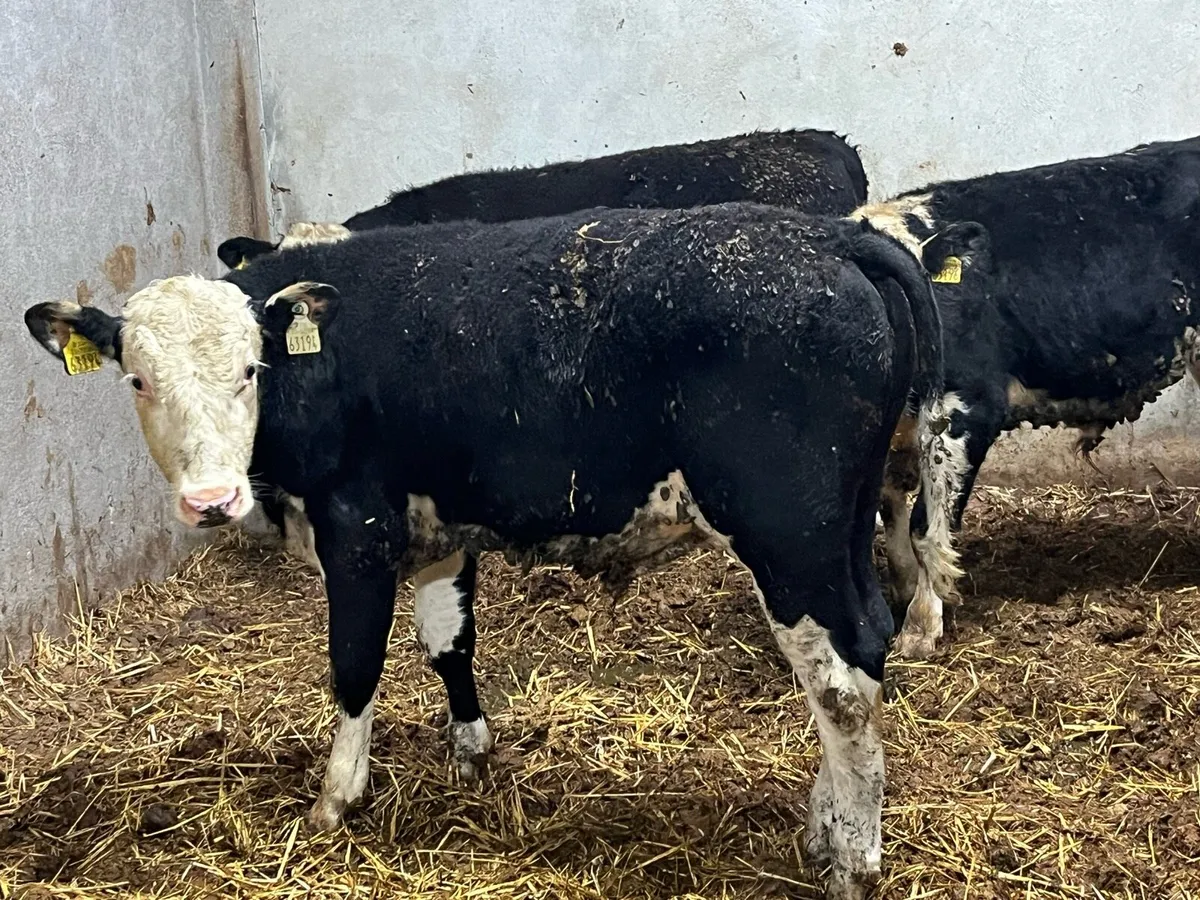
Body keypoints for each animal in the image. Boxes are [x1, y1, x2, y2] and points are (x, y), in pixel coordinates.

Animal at [26, 202, 947, 899]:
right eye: (137, 379)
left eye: (251, 370)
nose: (210, 501)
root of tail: (829, 237)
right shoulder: (439, 528)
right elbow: (449, 641)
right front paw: (469, 748)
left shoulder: (358, 534)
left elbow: (354, 668)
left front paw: (336, 798)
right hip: (841, 527)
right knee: (865, 649)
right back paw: (826, 829)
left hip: (789, 535)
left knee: (841, 682)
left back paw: (851, 858)